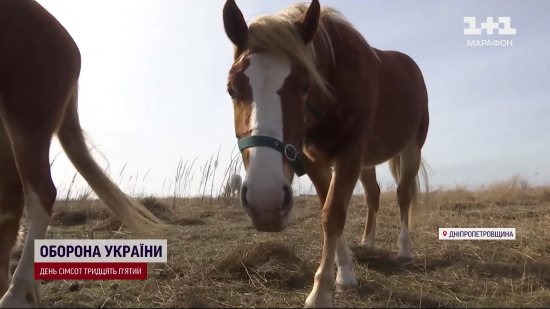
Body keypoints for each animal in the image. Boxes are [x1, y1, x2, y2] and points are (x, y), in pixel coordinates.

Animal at [223, 0, 432, 306]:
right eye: (232, 89)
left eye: (305, 87)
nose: (266, 203)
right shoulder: (313, 161)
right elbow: (329, 209)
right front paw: (345, 273)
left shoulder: (349, 155)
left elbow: (333, 214)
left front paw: (320, 292)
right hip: (367, 163)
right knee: (373, 195)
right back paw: (368, 241)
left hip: (411, 149)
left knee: (404, 194)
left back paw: (405, 251)